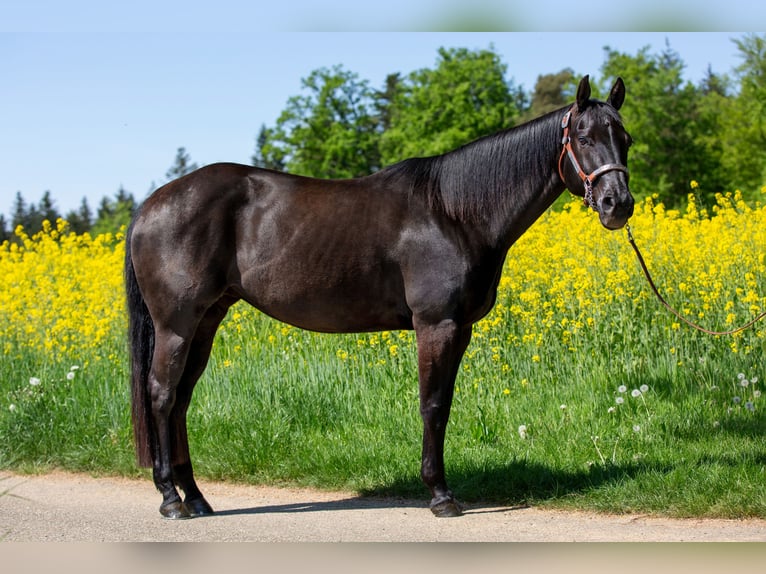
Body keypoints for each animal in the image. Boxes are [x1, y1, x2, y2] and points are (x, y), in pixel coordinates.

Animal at [125, 75, 634, 519]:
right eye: (584, 137)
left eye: (624, 138)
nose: (618, 205)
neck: (453, 212)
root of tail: (150, 205)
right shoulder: (436, 325)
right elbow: (432, 405)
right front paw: (440, 495)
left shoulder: (461, 329)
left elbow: (444, 404)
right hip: (176, 326)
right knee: (162, 395)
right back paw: (171, 499)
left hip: (206, 321)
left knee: (181, 400)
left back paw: (195, 497)